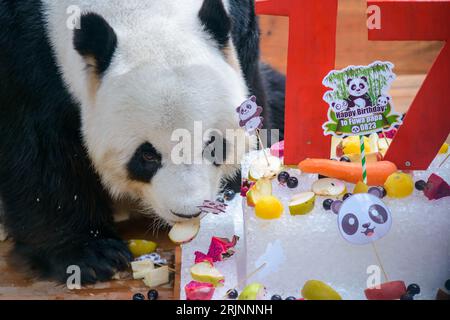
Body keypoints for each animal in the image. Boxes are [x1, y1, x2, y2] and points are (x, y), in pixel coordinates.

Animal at [0, 1, 284, 284]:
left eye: (212, 145)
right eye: (147, 156)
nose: (188, 212)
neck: (138, 10)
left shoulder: (242, 27)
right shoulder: (24, 51)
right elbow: (39, 147)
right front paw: (90, 255)